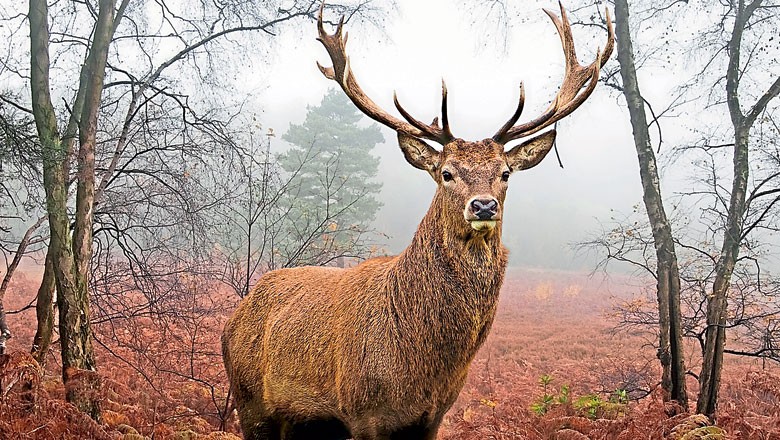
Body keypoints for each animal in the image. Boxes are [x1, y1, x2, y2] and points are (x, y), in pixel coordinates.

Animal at [222, 3, 614, 439]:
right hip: (250, 401)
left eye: (505, 173)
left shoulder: (434, 415)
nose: (483, 206)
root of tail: (234, 317)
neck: (422, 365)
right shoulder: (364, 412)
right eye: (447, 172)